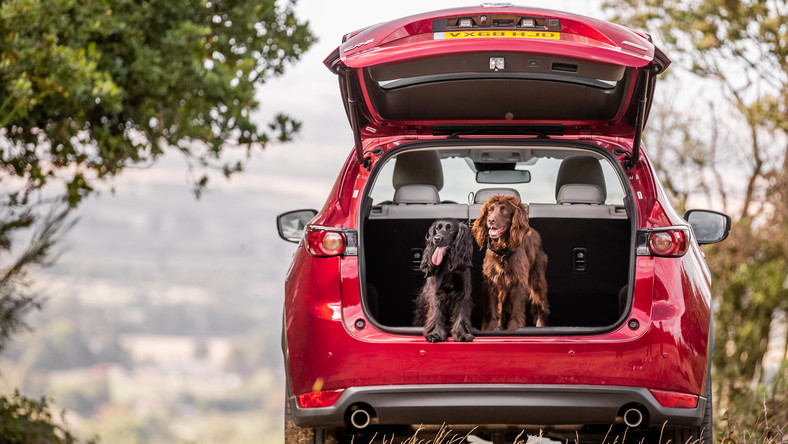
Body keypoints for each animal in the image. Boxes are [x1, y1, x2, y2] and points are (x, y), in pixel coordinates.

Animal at [474, 195, 548, 330]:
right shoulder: (491, 282)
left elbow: (516, 308)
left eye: (504, 210)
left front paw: (513, 327)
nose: (490, 220)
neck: (502, 251)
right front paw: (491, 328)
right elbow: (492, 308)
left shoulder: (519, 281)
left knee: (540, 304)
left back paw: (540, 325)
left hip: (537, 278)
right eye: (490, 210)